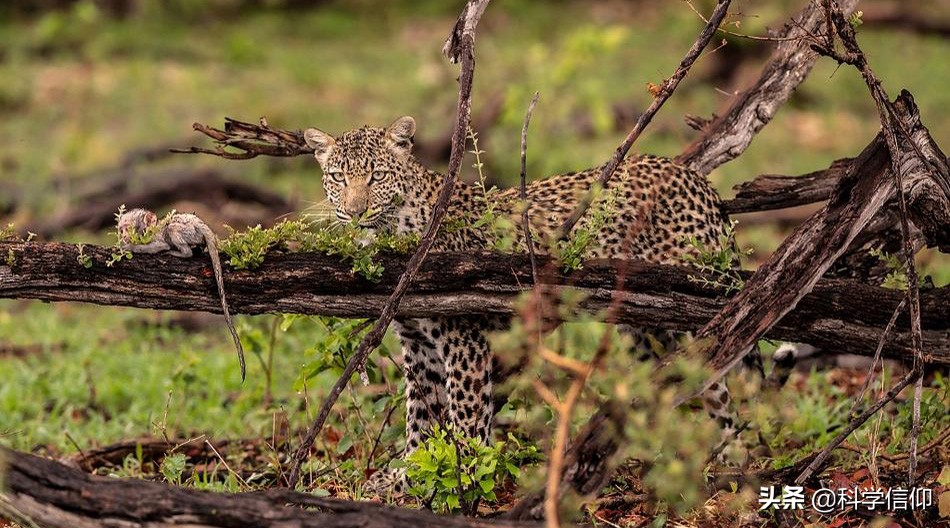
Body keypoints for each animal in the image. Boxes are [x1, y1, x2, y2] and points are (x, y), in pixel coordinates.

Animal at [304, 114, 760, 496]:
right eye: (339, 177)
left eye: (377, 176)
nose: (354, 213)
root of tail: (690, 175)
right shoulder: (419, 347)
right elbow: (421, 419)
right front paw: (409, 473)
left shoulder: (464, 340)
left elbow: (465, 415)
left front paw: (462, 474)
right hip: (644, 330)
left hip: (688, 308)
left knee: (725, 371)